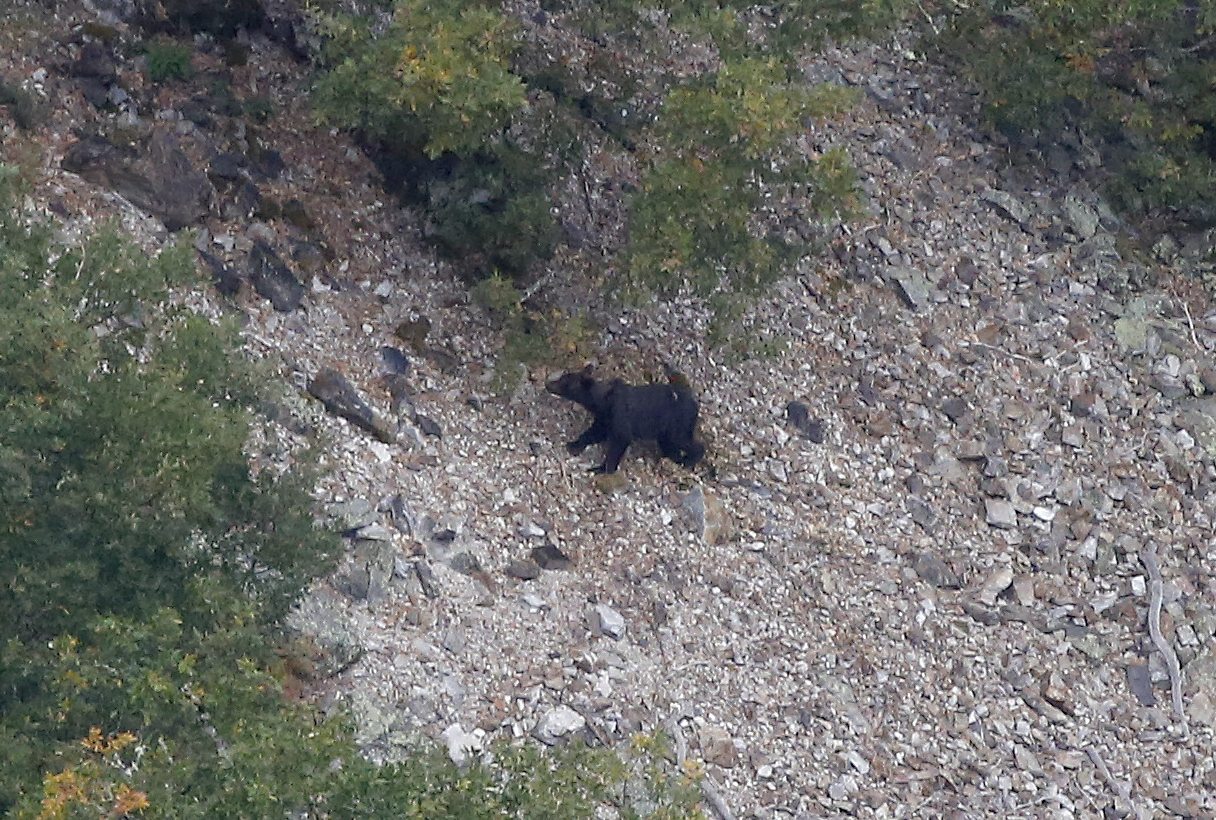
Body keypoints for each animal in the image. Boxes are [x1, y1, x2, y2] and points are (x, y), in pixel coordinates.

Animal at [546, 364, 705, 474]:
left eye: (564, 382)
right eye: (562, 378)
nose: (548, 384)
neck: (603, 401)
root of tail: (696, 405)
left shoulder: (619, 416)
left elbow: (620, 440)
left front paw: (602, 468)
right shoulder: (604, 417)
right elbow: (595, 431)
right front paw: (574, 444)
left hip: (678, 422)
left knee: (682, 441)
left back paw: (689, 460)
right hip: (666, 430)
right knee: (669, 445)